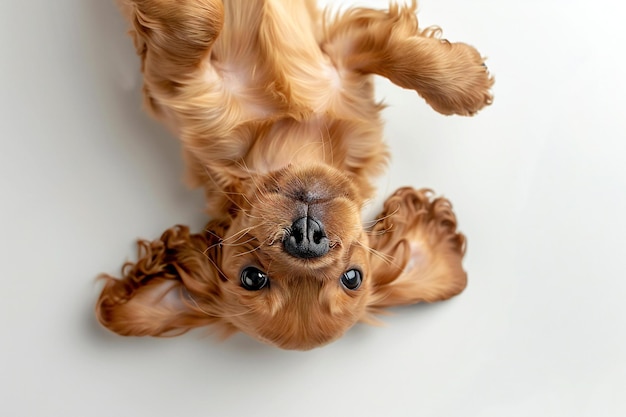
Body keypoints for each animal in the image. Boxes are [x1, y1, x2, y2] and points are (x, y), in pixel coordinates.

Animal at [95, 0, 490, 350]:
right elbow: (202, 22)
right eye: (252, 277)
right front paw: (467, 81)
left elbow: (395, 52)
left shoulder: (340, 63)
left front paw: (463, 81)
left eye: (352, 278)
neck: (288, 135)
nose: (306, 238)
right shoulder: (185, 85)